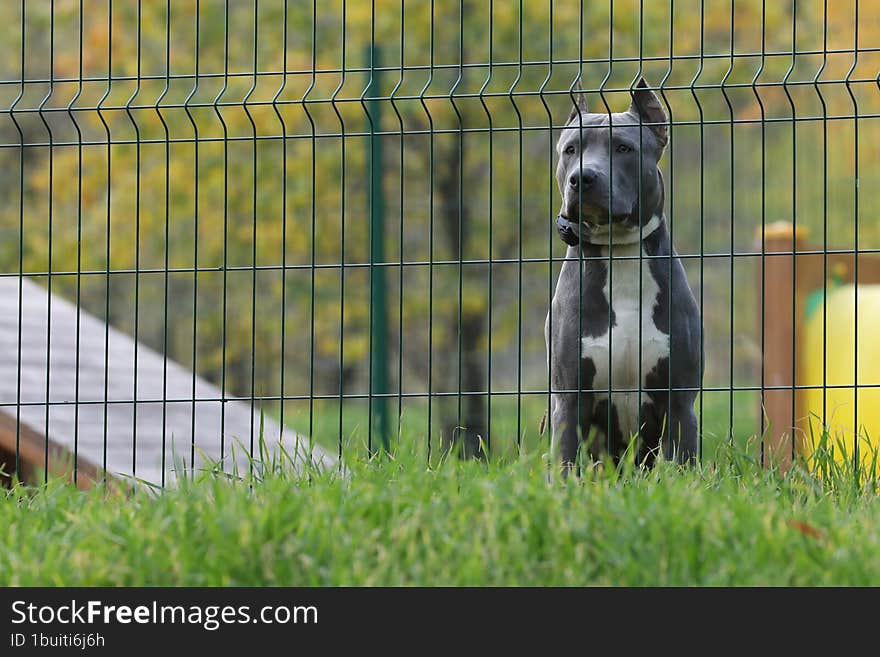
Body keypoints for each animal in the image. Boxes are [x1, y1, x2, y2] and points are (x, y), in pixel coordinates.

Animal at [548, 79, 704, 468]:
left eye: (623, 147)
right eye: (570, 149)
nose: (582, 177)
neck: (621, 255)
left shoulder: (679, 401)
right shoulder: (569, 398)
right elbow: (565, 463)